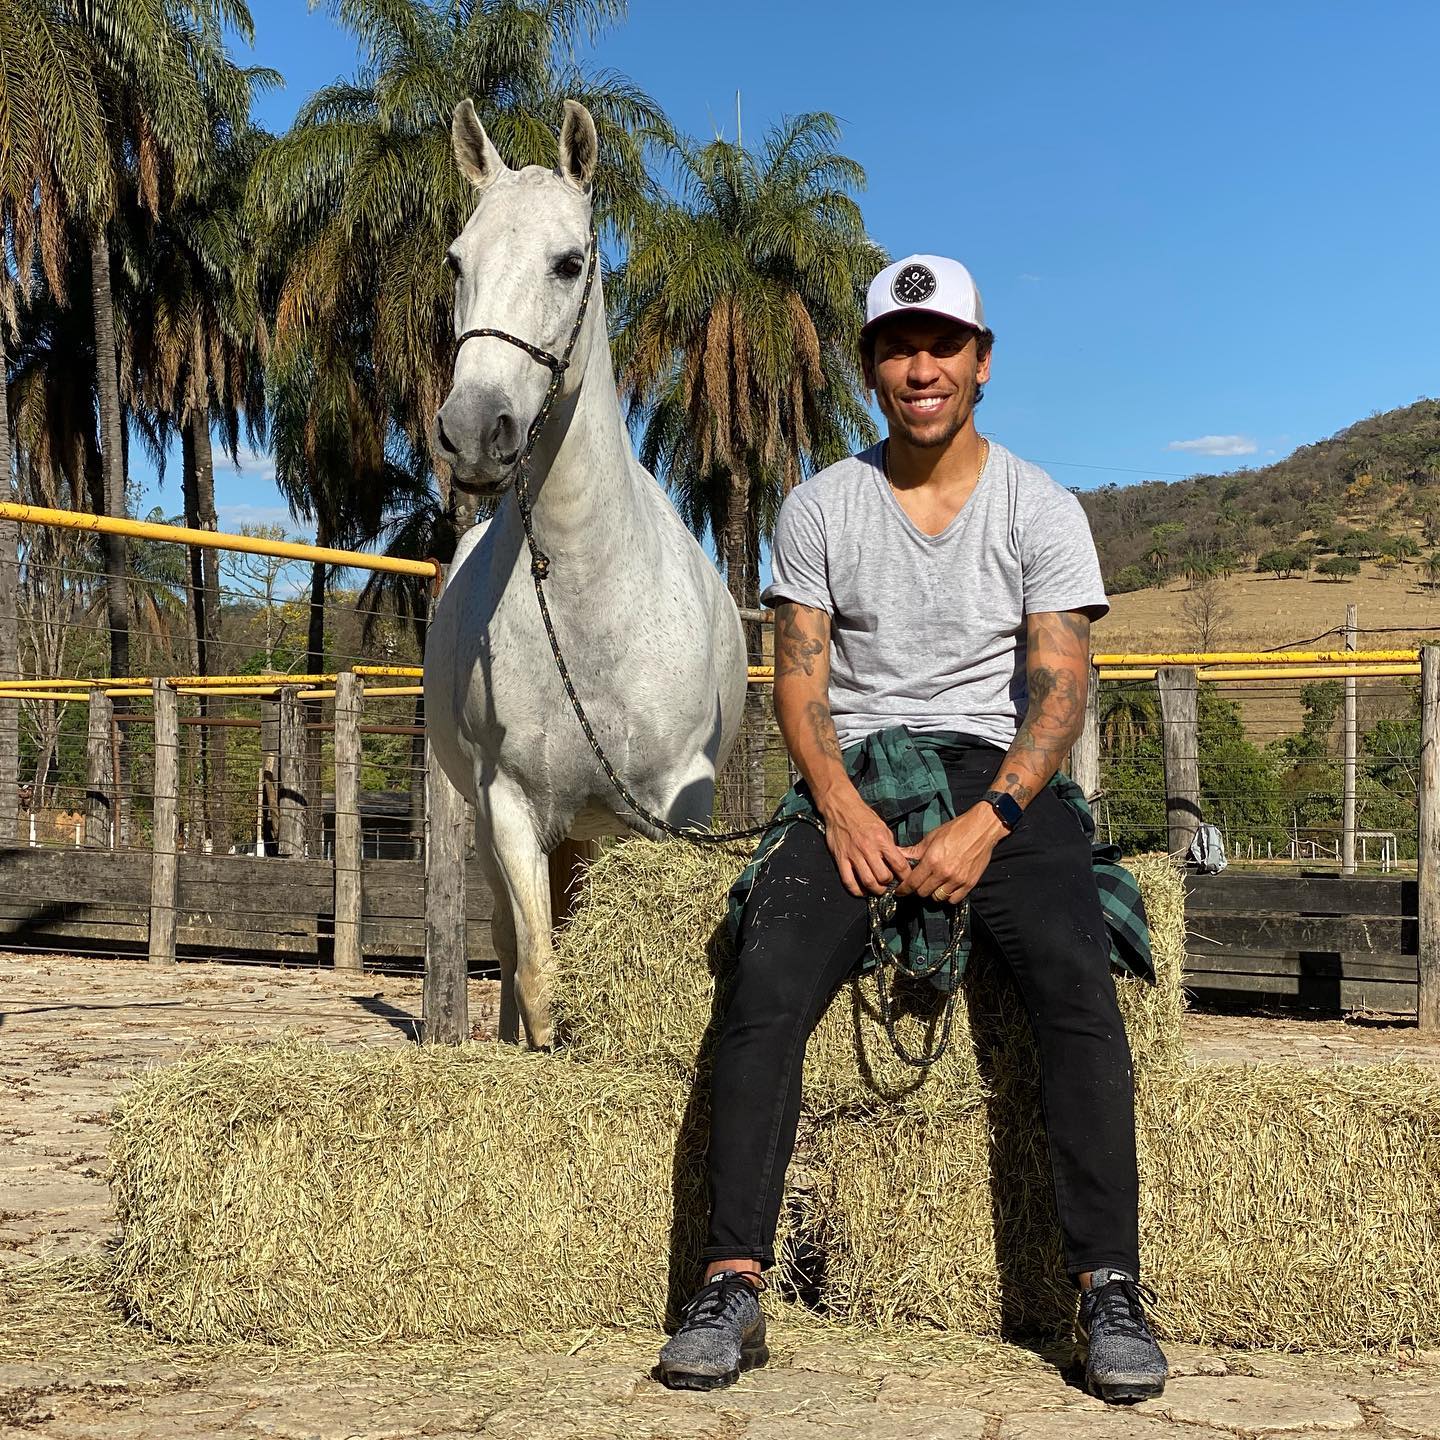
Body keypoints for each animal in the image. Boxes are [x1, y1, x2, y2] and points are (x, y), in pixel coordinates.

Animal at [423, 98, 743, 1048]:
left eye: (569, 262)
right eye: (457, 259)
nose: (473, 430)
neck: (588, 603)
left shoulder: (672, 809)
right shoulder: (509, 805)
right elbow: (537, 974)